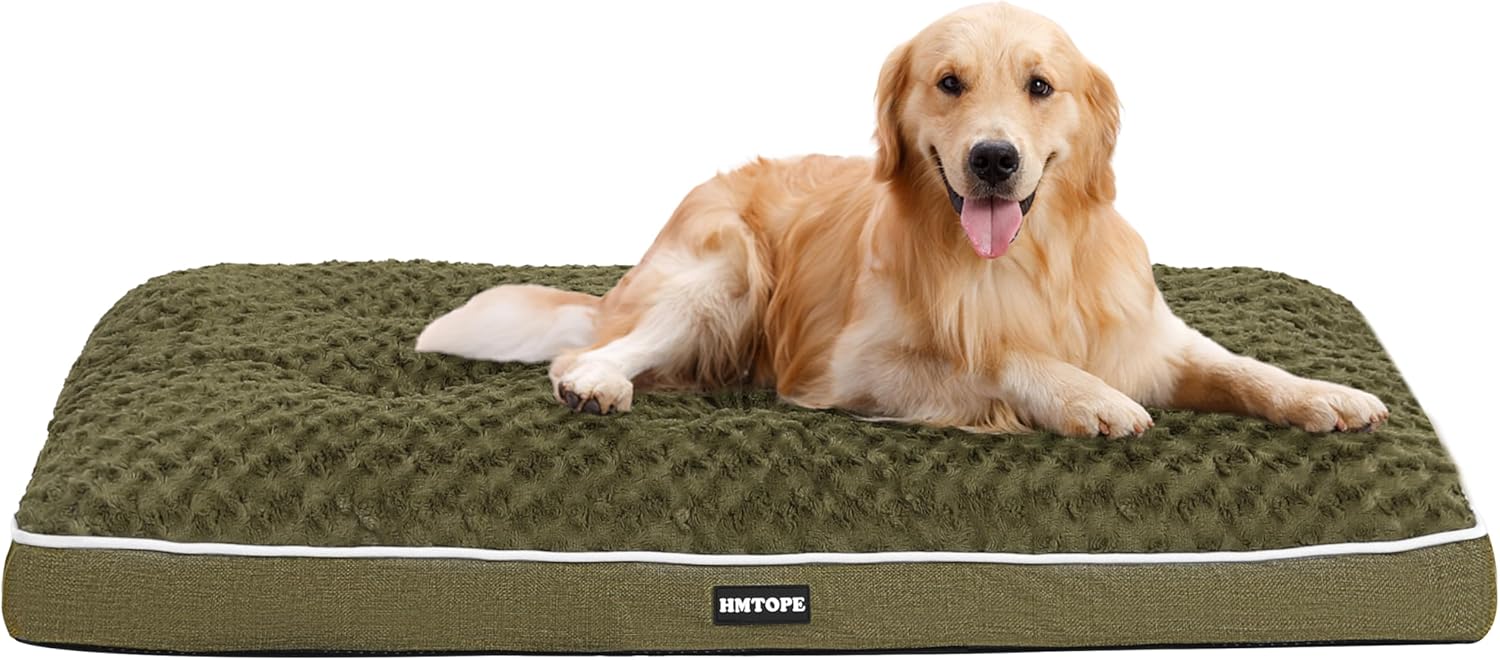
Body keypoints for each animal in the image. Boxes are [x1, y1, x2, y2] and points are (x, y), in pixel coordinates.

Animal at [416, 3, 1388, 438]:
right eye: (948, 82)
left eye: (1041, 86)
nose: (993, 159)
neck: (1028, 260)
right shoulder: (855, 366)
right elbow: (999, 356)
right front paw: (1088, 397)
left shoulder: (1151, 336)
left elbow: (1243, 367)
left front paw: (1325, 394)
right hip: (724, 274)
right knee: (597, 351)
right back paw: (595, 381)